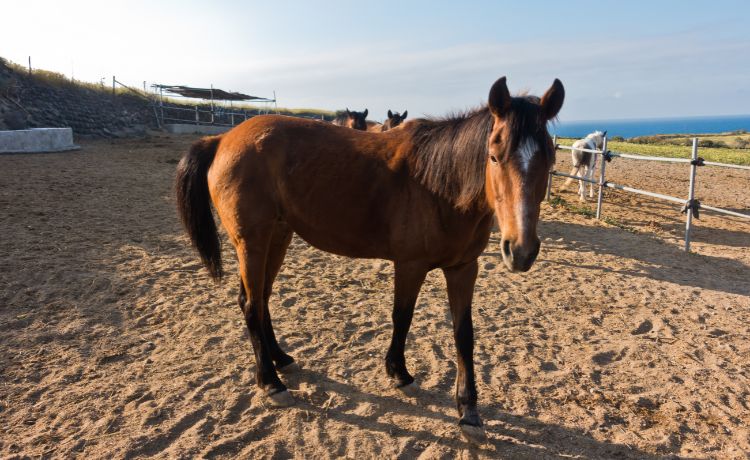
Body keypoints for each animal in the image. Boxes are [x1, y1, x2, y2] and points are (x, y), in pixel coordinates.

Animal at [176, 75, 564, 442]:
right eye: (494, 155)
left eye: (549, 158)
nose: (521, 250)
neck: (440, 185)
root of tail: (222, 140)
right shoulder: (410, 265)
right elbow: (402, 317)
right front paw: (399, 372)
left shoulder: (464, 268)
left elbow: (463, 334)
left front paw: (469, 411)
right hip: (252, 243)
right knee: (250, 303)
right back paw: (270, 381)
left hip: (278, 236)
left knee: (261, 299)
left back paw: (281, 359)